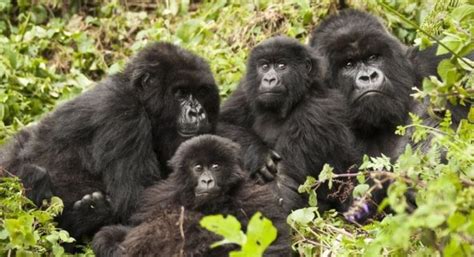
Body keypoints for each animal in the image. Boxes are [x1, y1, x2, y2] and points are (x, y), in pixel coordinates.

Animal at [0, 42, 219, 240]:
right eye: (180, 93)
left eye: (201, 92)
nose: (197, 112)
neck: (139, 98)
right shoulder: (122, 114)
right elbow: (136, 200)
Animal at [89, 135, 288, 255]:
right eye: (198, 167)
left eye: (216, 166)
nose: (207, 181)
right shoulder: (159, 198)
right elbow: (125, 231)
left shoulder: (252, 199)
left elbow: (271, 241)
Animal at [217, 36, 358, 212]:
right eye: (264, 66)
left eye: (281, 66)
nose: (269, 79)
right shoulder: (246, 89)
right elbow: (222, 124)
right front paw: (258, 154)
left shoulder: (315, 111)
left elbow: (283, 183)